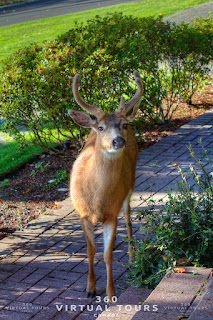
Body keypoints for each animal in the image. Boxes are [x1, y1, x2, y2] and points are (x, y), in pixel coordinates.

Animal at [68, 70, 143, 302]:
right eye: (101, 127)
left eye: (123, 125)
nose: (118, 141)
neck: (96, 200)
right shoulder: (82, 214)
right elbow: (91, 251)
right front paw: (90, 288)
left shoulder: (111, 214)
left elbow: (107, 254)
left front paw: (110, 294)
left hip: (130, 188)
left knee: (128, 219)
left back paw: (132, 257)